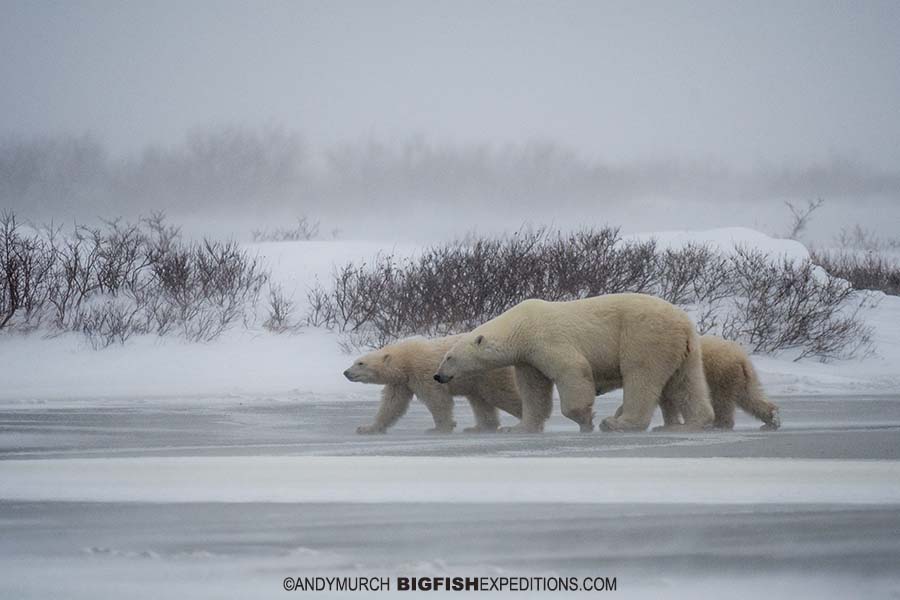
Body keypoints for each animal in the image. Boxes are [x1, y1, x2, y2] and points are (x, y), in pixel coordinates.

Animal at [342, 336, 520, 434]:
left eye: (361, 363)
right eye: (355, 362)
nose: (346, 372)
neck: (406, 360)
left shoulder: (425, 372)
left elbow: (437, 399)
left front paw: (439, 428)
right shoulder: (402, 382)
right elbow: (392, 404)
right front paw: (367, 428)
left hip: (489, 373)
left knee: (501, 394)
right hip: (476, 379)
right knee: (480, 400)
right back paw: (478, 428)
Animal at [432, 294, 712, 432]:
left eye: (449, 357)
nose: (438, 376)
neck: (521, 326)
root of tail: (683, 322)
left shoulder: (547, 339)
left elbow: (572, 370)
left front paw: (585, 419)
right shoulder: (529, 358)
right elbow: (533, 391)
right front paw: (519, 427)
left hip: (645, 335)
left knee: (641, 376)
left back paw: (618, 423)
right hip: (683, 348)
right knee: (686, 382)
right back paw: (692, 423)